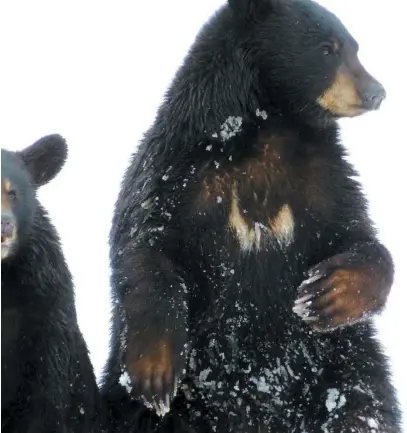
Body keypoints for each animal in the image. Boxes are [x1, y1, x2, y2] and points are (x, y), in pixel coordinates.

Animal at [101, 0, 402, 432]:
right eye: (327, 49)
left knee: (364, 397)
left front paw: (327, 292)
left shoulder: (324, 179)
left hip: (345, 358)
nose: (377, 92)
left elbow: (358, 235)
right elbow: (145, 244)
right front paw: (155, 373)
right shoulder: (179, 171)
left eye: (355, 47)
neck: (267, 133)